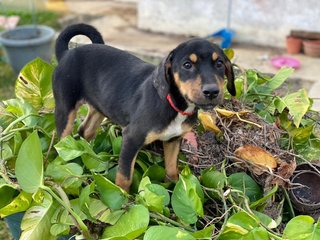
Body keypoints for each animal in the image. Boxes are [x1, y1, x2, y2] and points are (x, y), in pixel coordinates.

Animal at [52, 23, 235, 192]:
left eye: (219, 64)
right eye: (187, 65)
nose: (211, 91)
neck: (173, 104)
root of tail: (67, 53)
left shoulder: (173, 139)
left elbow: (172, 170)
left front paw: (174, 188)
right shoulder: (131, 138)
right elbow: (124, 177)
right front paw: (124, 199)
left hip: (100, 106)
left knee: (85, 131)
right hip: (65, 110)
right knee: (63, 140)